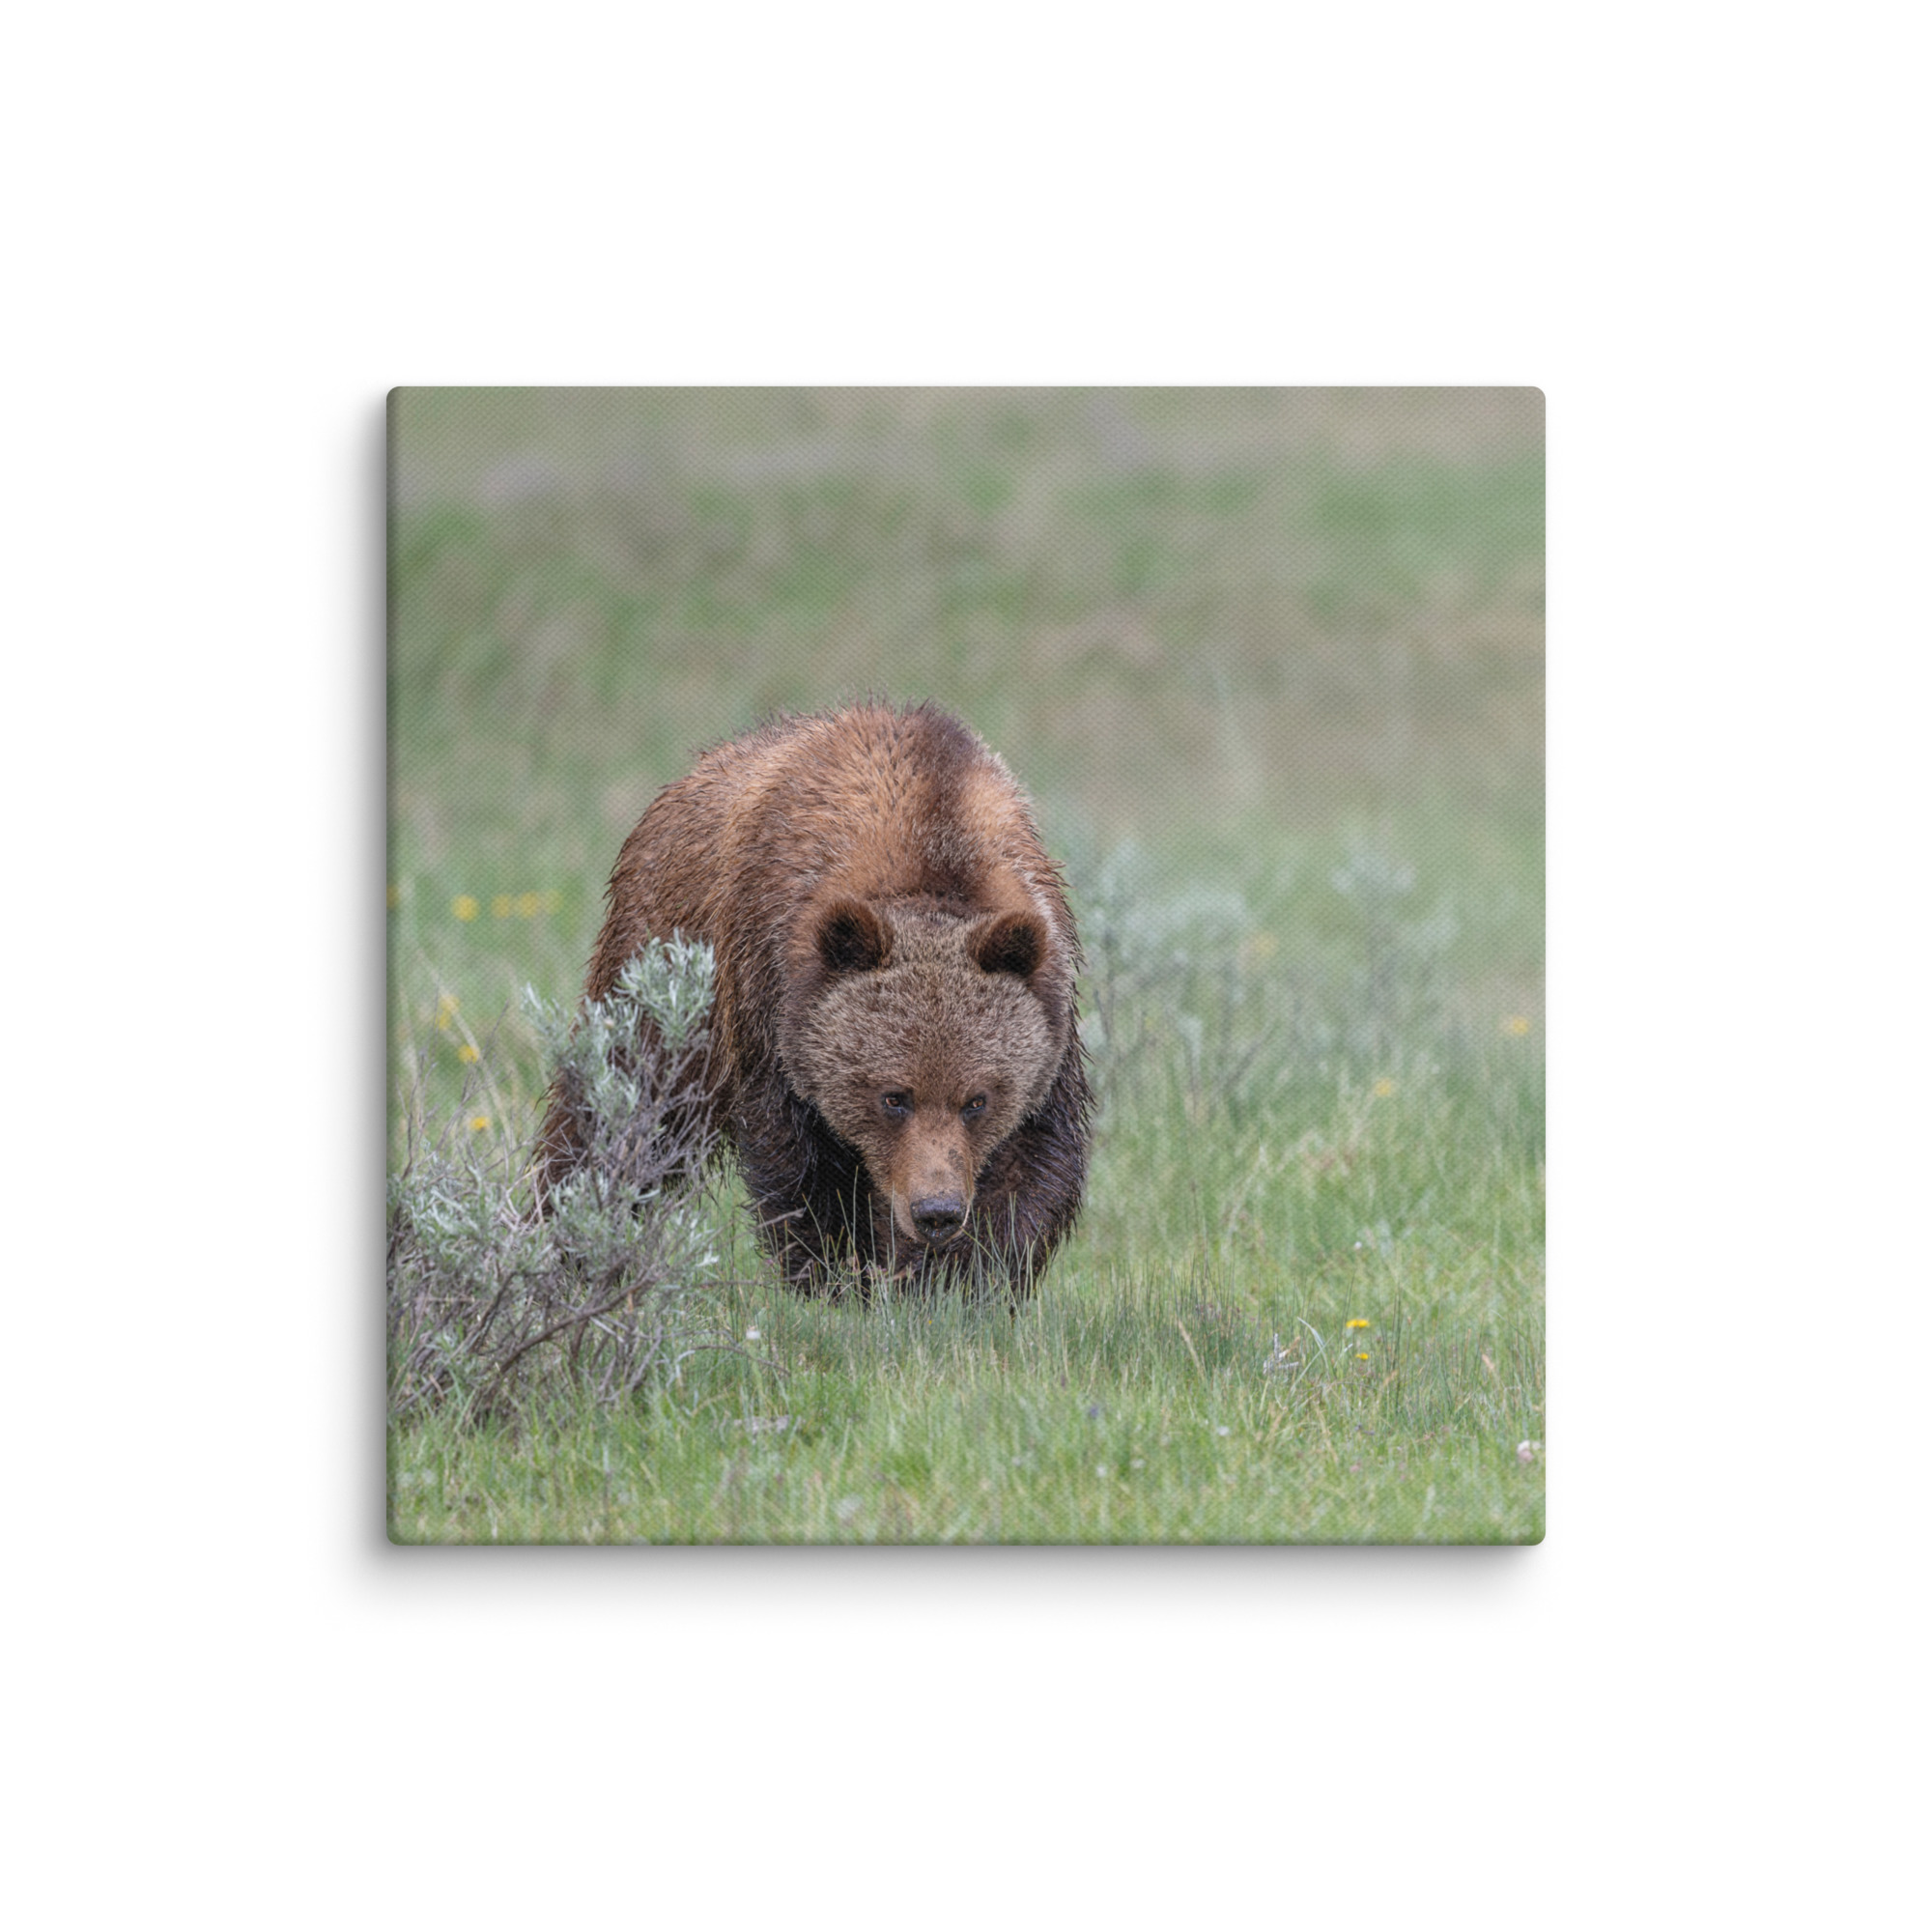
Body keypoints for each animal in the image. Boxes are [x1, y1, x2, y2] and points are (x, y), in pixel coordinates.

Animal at [537, 700, 1093, 1299]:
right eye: (893, 1097)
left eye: (977, 1100)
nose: (936, 1211)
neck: (931, 844)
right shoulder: (770, 999)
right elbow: (803, 1168)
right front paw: (840, 1277)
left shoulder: (1049, 1012)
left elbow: (1031, 1165)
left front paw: (957, 1282)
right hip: (661, 968)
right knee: (617, 1108)